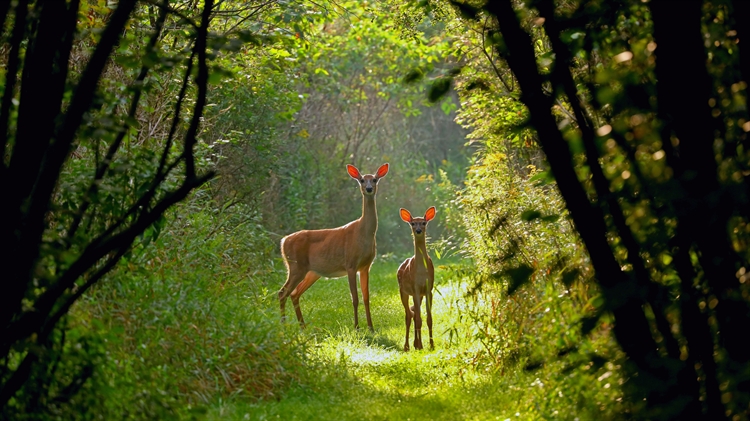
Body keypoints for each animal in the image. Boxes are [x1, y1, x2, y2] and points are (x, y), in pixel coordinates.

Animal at [280, 162, 390, 330]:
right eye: (362, 180)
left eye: (375, 179)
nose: (369, 189)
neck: (363, 233)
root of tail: (284, 241)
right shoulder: (350, 263)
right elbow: (355, 298)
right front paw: (356, 327)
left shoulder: (366, 266)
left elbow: (366, 297)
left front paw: (371, 328)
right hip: (296, 266)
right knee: (282, 292)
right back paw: (284, 326)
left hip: (311, 272)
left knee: (294, 293)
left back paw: (302, 326)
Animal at [396, 205, 438, 350]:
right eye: (413, 223)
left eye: (424, 222)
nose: (418, 230)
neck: (421, 271)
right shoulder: (415, 288)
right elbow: (419, 319)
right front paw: (421, 345)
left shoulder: (428, 289)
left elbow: (429, 319)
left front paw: (431, 344)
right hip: (403, 291)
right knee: (409, 315)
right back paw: (408, 346)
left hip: (419, 295)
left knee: (413, 314)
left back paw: (415, 343)